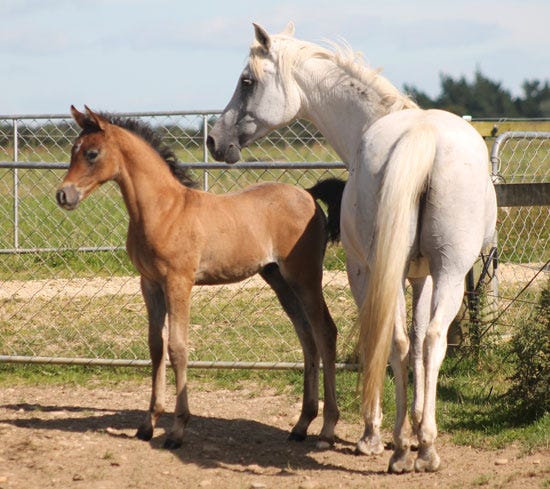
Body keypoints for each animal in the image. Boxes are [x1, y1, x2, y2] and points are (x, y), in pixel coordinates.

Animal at [208, 23, 500, 472]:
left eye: (247, 82)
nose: (214, 140)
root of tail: (422, 136)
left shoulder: (364, 273)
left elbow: (381, 342)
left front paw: (373, 435)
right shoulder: (423, 276)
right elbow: (418, 342)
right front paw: (418, 427)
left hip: (383, 270)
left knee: (393, 341)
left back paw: (395, 448)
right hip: (449, 271)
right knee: (429, 340)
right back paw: (423, 449)